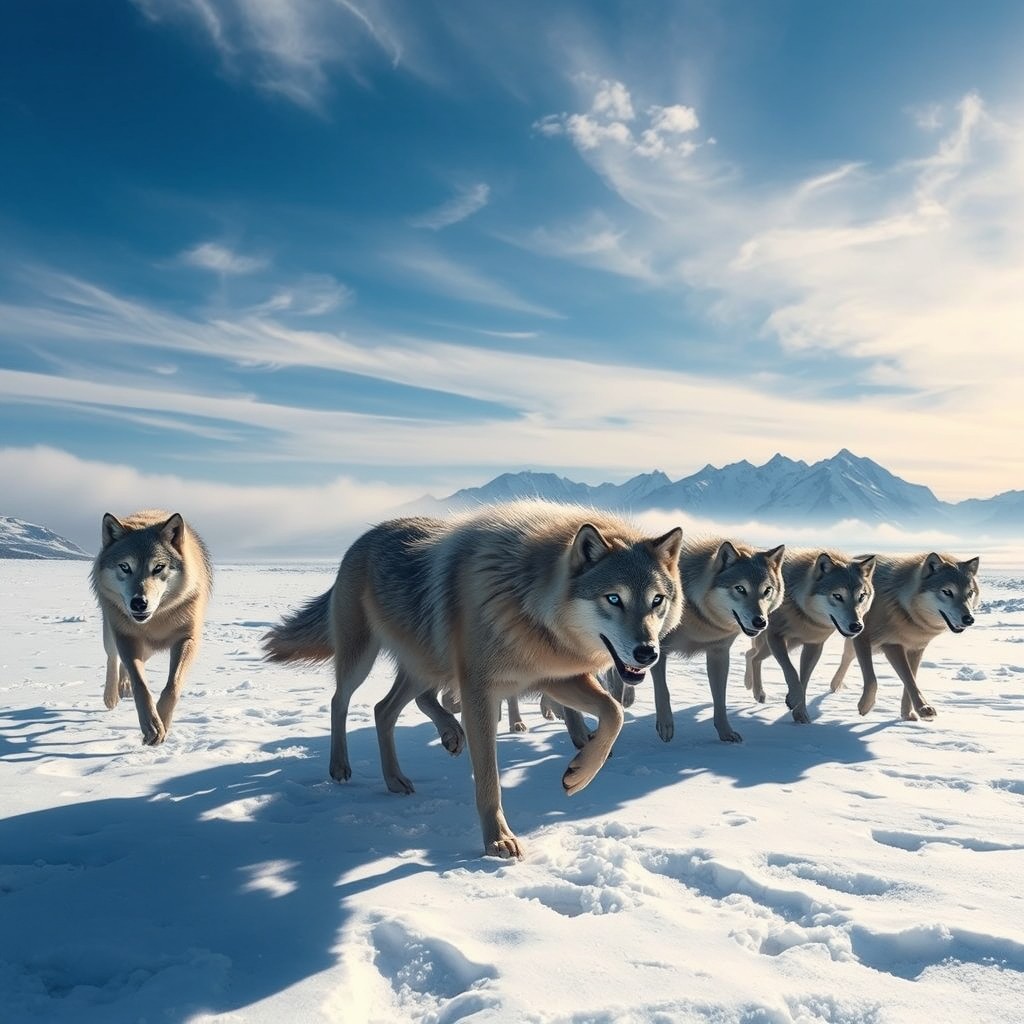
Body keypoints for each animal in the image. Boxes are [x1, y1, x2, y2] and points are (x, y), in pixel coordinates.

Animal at [90, 510, 212, 746]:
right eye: (125, 566)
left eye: (158, 567)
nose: (139, 603)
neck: (156, 619)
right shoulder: (126, 637)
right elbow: (141, 685)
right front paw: (151, 726)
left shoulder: (188, 639)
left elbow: (172, 685)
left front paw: (162, 721)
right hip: (112, 632)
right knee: (112, 658)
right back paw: (111, 695)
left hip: (146, 649)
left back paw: (123, 686)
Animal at [261, 500, 684, 859]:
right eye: (614, 599)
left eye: (657, 601)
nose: (648, 653)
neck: (525, 600)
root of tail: (365, 535)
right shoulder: (481, 690)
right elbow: (488, 780)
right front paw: (498, 841)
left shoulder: (553, 677)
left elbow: (614, 714)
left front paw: (579, 774)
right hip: (364, 658)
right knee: (341, 700)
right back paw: (341, 767)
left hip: (424, 665)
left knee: (385, 709)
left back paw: (401, 775)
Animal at [744, 550, 876, 723]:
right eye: (838, 596)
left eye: (861, 596)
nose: (857, 626)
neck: (804, 615)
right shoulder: (776, 637)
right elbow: (791, 671)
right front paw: (793, 699)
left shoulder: (814, 645)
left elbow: (804, 681)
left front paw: (800, 714)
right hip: (773, 644)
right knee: (753, 656)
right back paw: (755, 690)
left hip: (779, 646)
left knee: (752, 656)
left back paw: (754, 689)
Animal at [828, 552, 980, 720]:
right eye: (947, 592)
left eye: (970, 593)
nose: (969, 619)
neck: (902, 609)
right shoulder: (880, 643)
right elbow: (876, 679)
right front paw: (866, 706)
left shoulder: (914, 649)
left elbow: (910, 679)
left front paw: (909, 713)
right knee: (846, 657)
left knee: (847, 657)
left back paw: (835, 686)